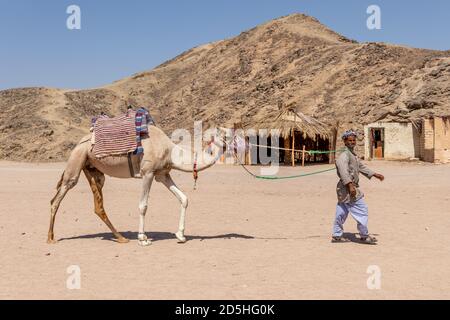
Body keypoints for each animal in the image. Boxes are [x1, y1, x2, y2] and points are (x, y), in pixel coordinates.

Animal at [48, 124, 224, 245]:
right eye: (226, 133)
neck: (170, 152)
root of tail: (78, 143)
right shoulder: (148, 172)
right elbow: (143, 205)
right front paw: (143, 238)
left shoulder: (162, 174)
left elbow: (184, 198)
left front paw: (180, 235)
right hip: (77, 160)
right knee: (57, 198)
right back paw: (50, 238)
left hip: (92, 169)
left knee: (98, 206)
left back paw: (121, 238)